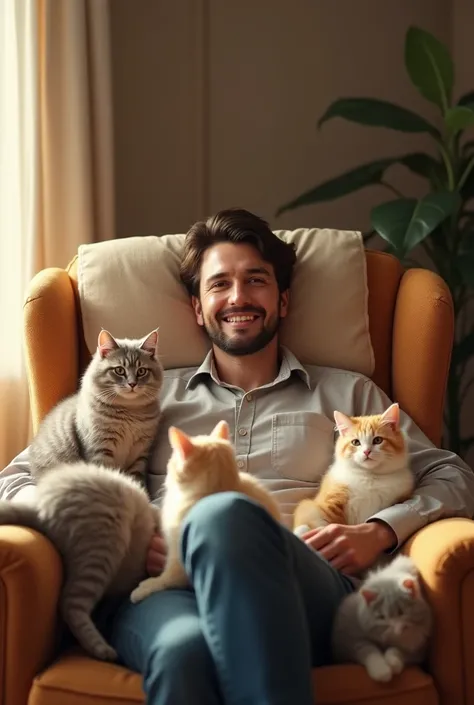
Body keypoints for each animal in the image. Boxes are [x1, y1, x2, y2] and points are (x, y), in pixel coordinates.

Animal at [30, 326, 163, 484]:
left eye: (141, 371)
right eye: (119, 370)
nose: (132, 384)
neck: (129, 413)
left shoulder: (140, 453)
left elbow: (137, 479)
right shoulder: (100, 450)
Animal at [294, 404, 412, 536]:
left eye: (378, 440)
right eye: (356, 442)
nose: (367, 451)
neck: (369, 477)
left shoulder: (399, 497)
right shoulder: (327, 501)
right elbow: (315, 515)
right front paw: (303, 531)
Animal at [332, 552, 432, 680]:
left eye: (401, 612)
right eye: (382, 617)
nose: (395, 630)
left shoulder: (417, 650)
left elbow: (395, 650)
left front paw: (393, 665)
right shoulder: (351, 641)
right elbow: (370, 650)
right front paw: (382, 672)